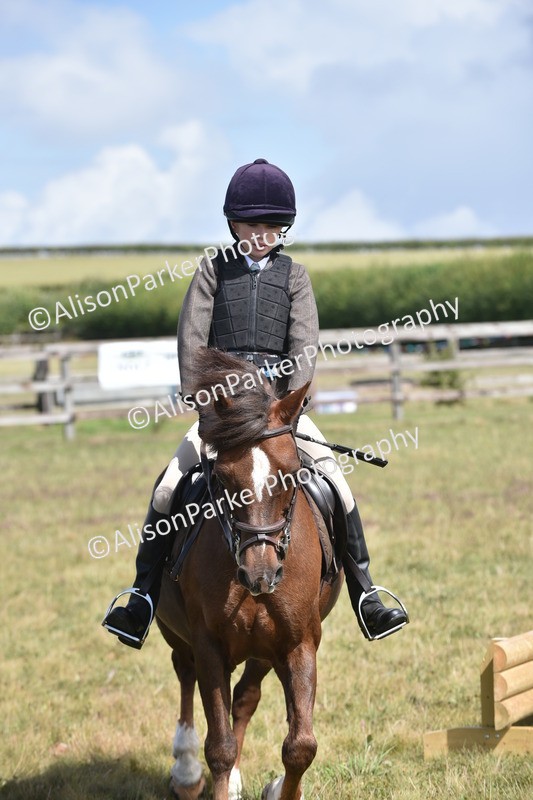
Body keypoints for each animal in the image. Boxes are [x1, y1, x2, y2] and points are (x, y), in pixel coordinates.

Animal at [155, 349, 344, 800]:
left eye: (291, 474)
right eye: (223, 479)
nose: (260, 573)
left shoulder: (299, 642)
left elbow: (300, 745)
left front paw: (282, 790)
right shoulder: (208, 644)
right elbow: (219, 746)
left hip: (262, 651)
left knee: (245, 697)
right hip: (177, 633)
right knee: (185, 674)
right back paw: (185, 770)